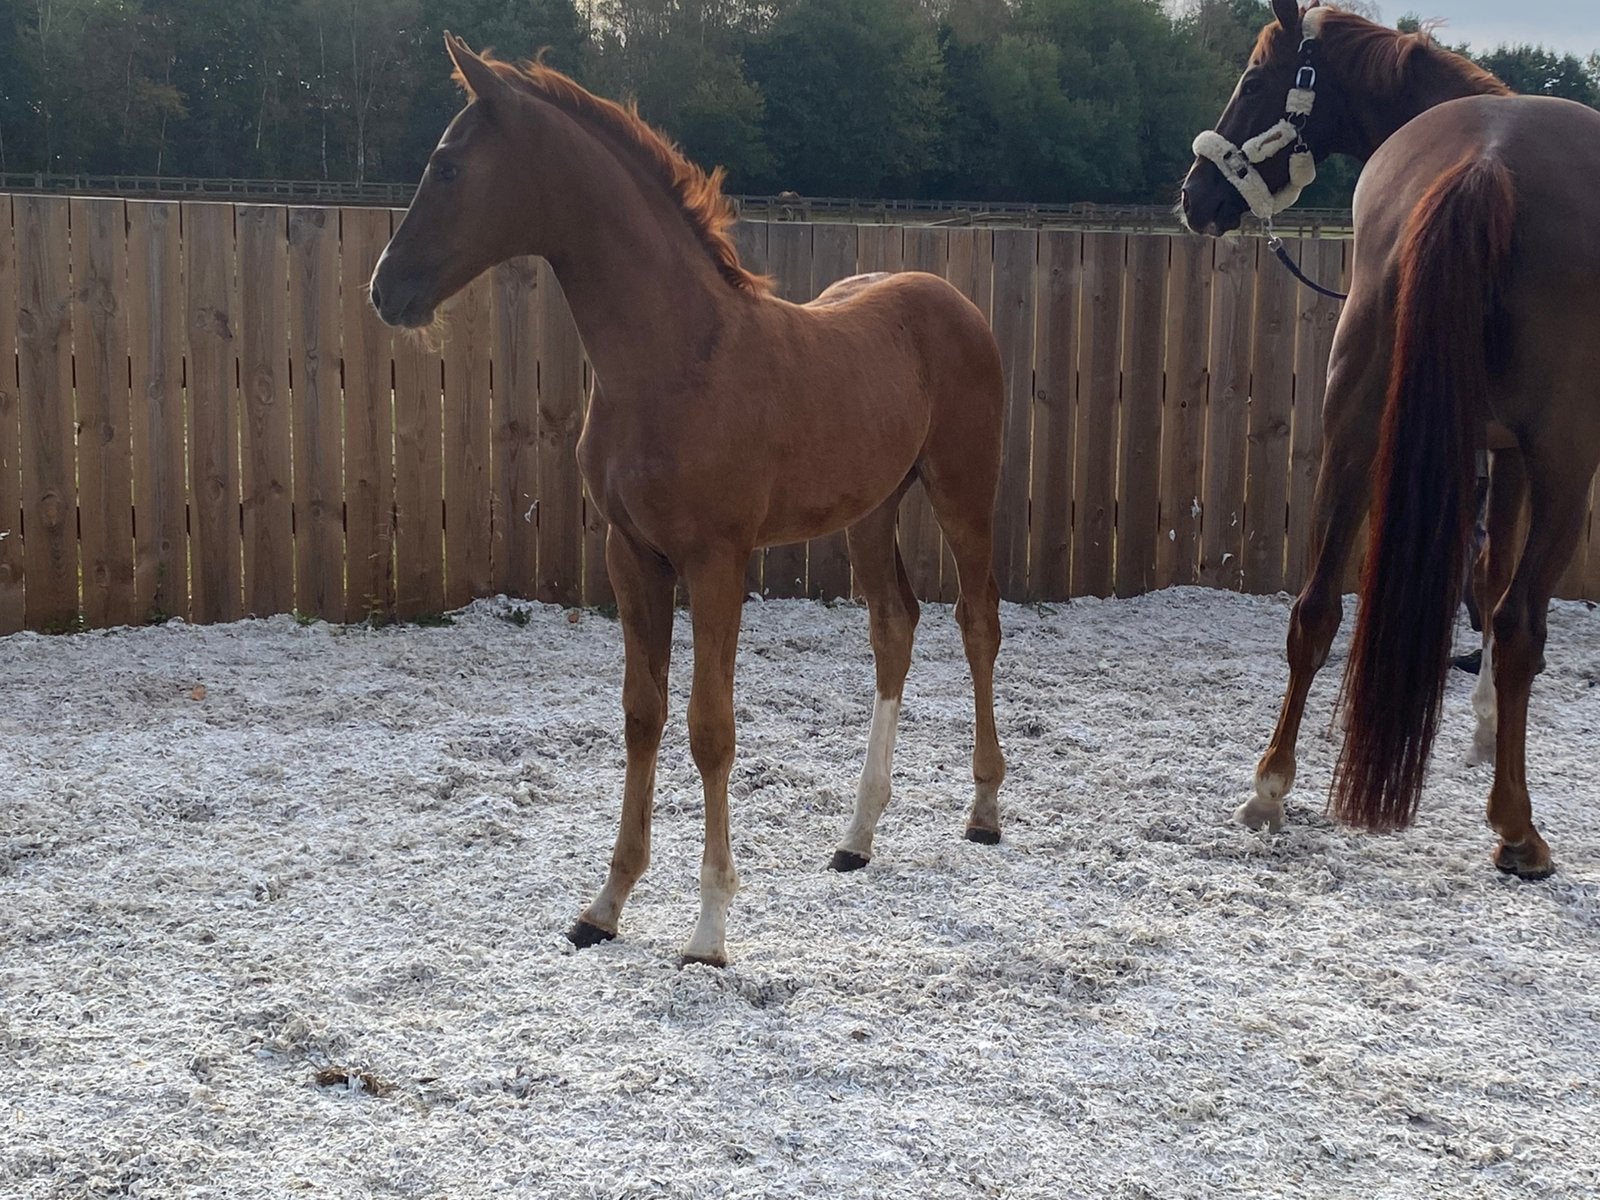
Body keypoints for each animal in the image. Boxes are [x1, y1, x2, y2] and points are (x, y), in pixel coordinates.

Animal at [368, 36, 1008, 965]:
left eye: (447, 166)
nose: (385, 289)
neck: (674, 358)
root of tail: (953, 298)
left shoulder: (715, 561)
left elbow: (711, 728)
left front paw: (709, 926)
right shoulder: (630, 554)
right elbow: (643, 714)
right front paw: (606, 904)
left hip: (963, 490)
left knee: (977, 622)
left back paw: (986, 811)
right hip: (872, 509)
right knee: (895, 627)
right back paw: (856, 836)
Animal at [1180, 0, 1600, 878]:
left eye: (1253, 80)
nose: (1196, 196)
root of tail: (1489, 164)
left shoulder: (1490, 447)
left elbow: (1479, 573)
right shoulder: (1520, 453)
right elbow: (1497, 590)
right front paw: (1486, 733)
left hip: (1353, 421)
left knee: (1314, 608)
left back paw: (1269, 791)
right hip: (1567, 459)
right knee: (1521, 625)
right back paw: (1518, 828)